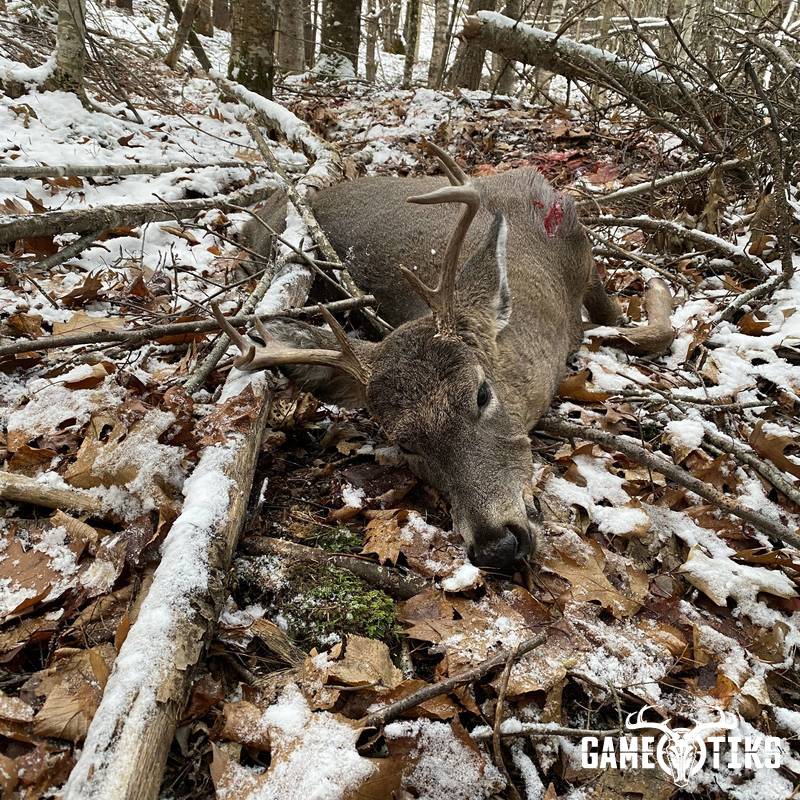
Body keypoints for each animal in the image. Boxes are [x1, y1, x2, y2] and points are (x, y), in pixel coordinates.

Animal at [214, 142, 673, 574]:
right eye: (404, 444)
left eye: (482, 394)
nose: (497, 546)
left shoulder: (584, 253)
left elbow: (639, 326)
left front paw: (655, 288)